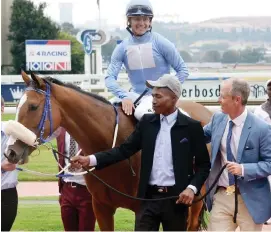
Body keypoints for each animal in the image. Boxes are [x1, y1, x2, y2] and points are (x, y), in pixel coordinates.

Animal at [6, 71, 214, 231]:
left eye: (33, 106)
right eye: (17, 107)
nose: (10, 152)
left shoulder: (140, 206)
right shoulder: (101, 207)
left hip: (195, 197)